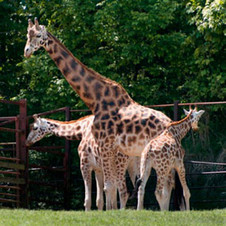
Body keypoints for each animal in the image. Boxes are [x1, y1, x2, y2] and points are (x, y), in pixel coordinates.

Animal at [23, 18, 181, 210]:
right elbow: (109, 190)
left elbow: (107, 189)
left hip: (157, 157)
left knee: (161, 188)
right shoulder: (107, 151)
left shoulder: (102, 148)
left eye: (38, 35)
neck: (95, 100)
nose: (27, 51)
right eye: (27, 35)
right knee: (160, 186)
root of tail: (171, 124)